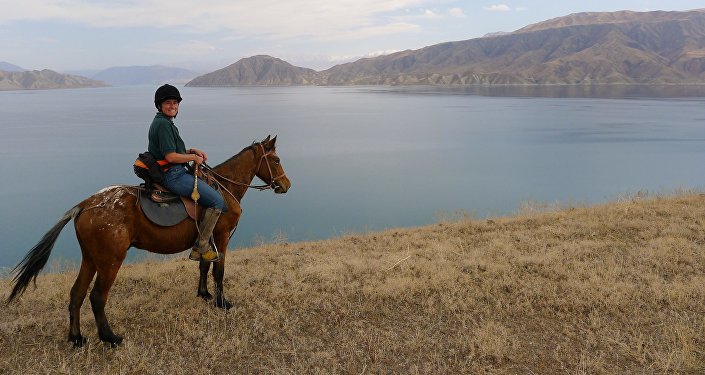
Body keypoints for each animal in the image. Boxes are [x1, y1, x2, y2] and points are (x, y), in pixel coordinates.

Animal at [6, 136, 290, 350]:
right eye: (276, 159)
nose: (286, 185)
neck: (223, 188)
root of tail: (86, 205)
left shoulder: (206, 239)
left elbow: (203, 266)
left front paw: (204, 294)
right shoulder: (220, 235)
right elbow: (218, 270)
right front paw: (222, 302)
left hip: (90, 258)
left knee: (77, 293)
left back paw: (77, 338)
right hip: (110, 260)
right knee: (97, 297)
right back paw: (110, 338)